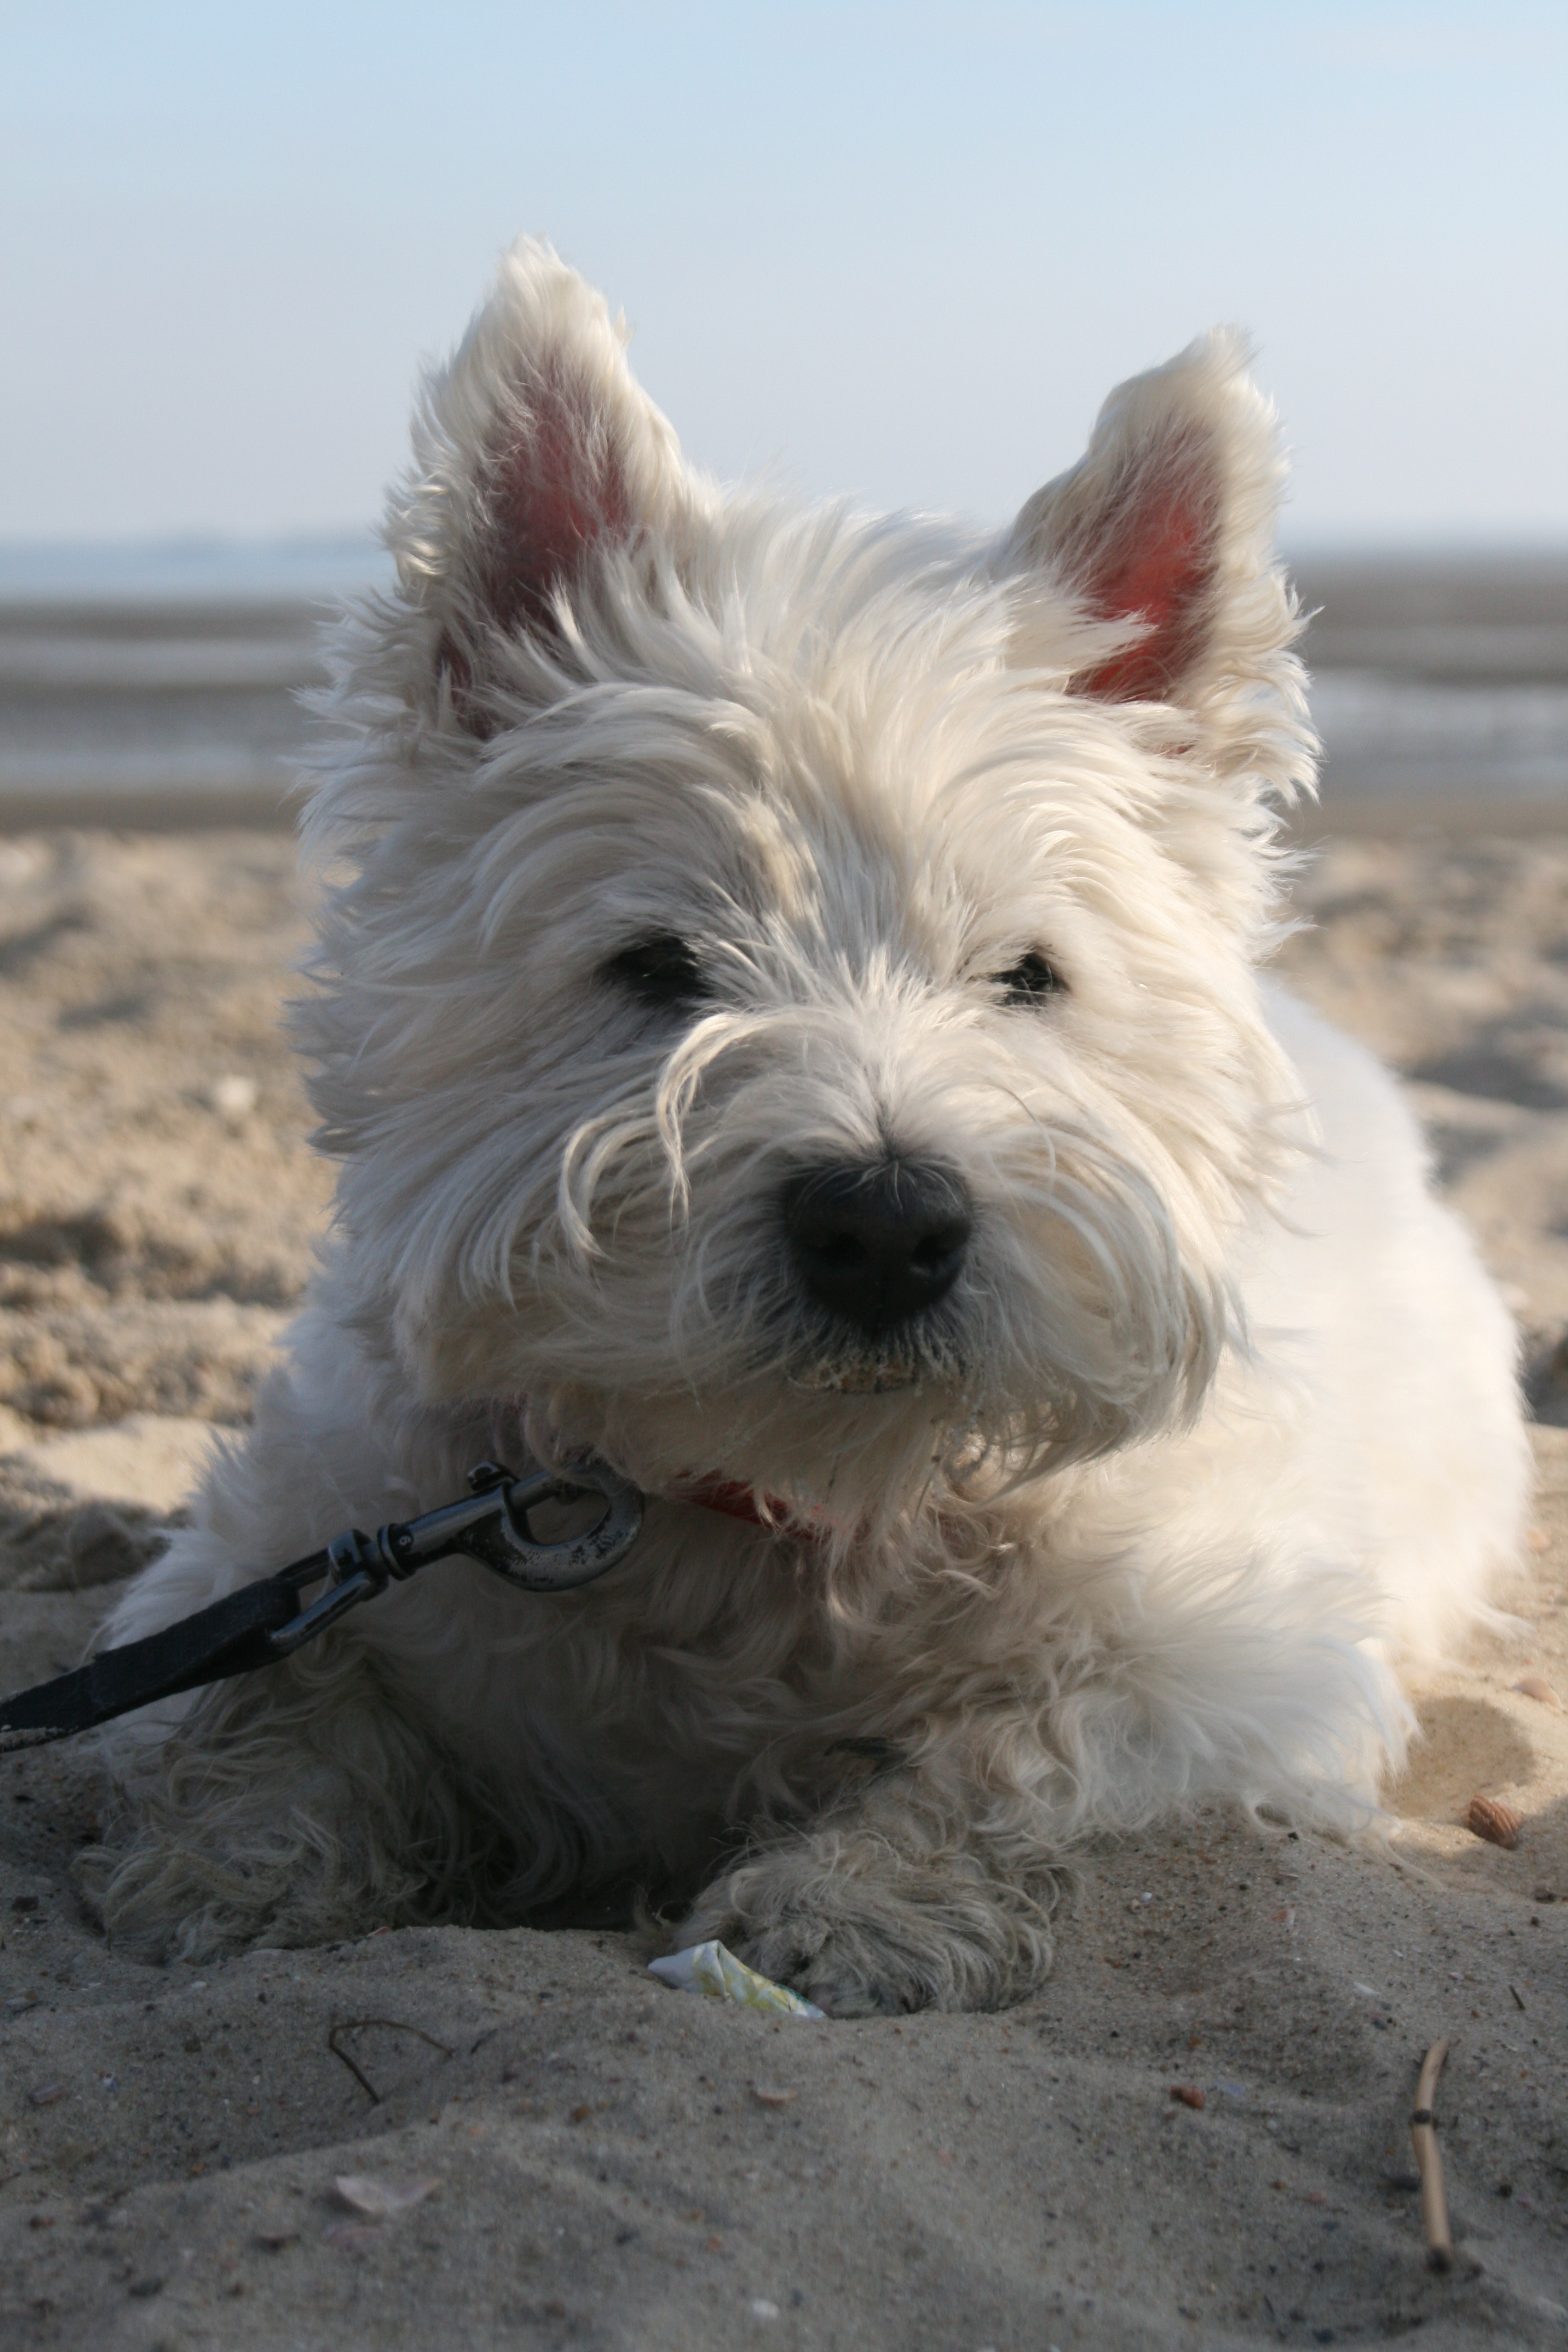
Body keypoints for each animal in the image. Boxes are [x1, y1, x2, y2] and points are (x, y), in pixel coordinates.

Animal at [95, 234, 1523, 2004]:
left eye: (1027, 975)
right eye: (655, 963)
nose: (887, 1226)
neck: (772, 1510)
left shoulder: (1241, 1668)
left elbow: (1026, 1752)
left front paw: (852, 1904)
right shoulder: (282, 1559)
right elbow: (262, 1710)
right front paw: (228, 1878)